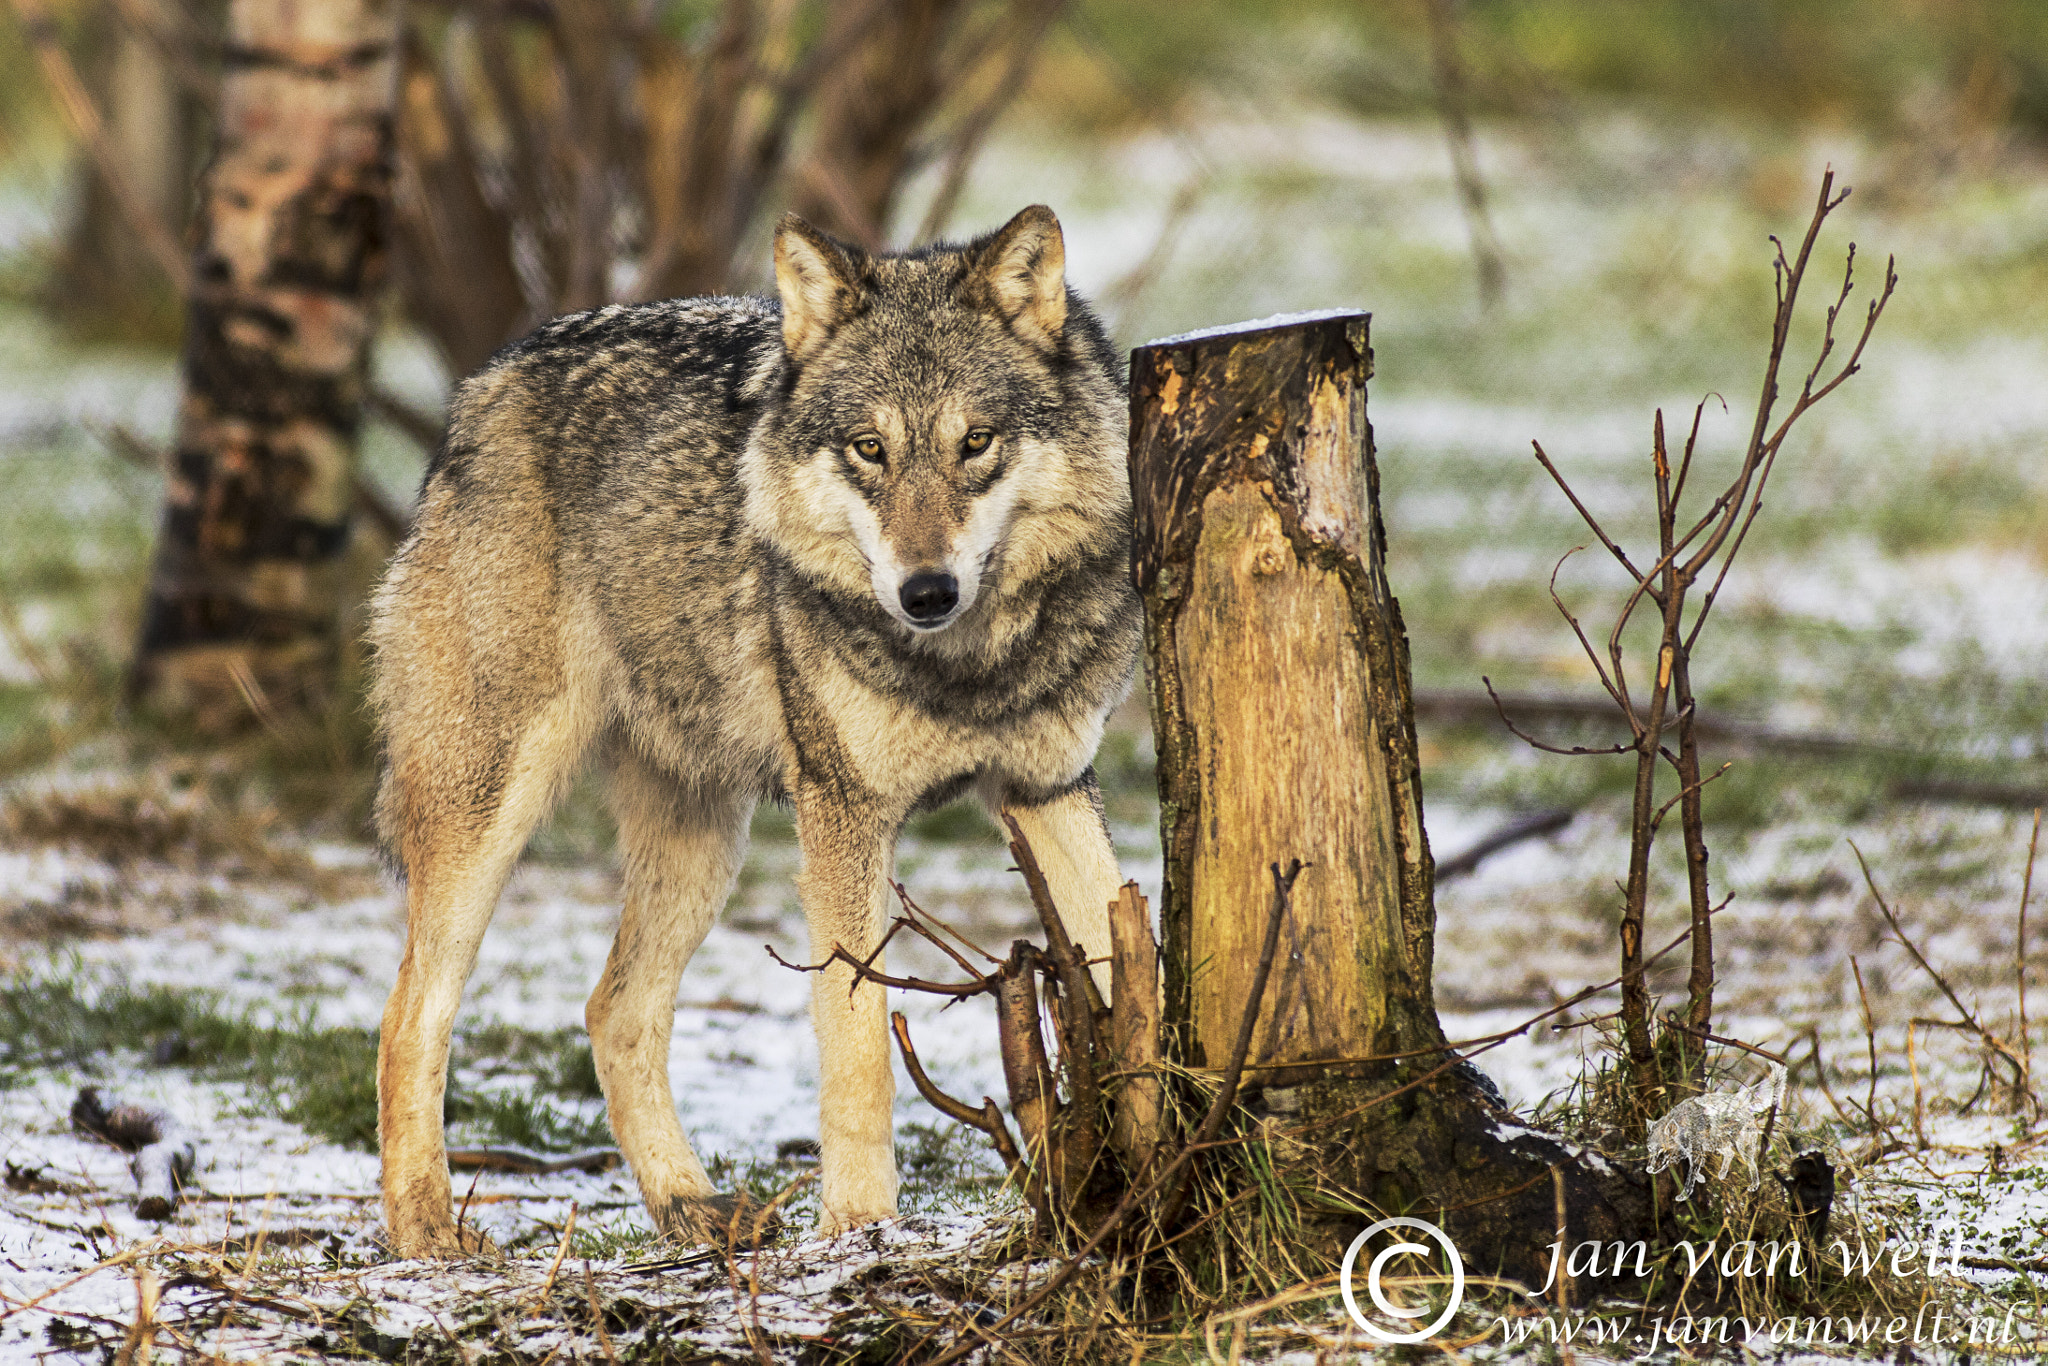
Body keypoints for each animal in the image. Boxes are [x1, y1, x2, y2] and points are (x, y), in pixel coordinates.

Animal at [368, 205, 1138, 1261]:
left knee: (613, 1010)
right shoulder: (844, 814)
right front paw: (860, 1226)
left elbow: (1133, 944)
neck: (967, 669)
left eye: (975, 442)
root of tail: (485, 383)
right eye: (868, 449)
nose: (926, 592)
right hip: (487, 816)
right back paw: (424, 1231)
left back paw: (689, 1208)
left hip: (704, 844)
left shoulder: (1049, 787)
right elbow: (857, 1037)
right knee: (410, 1014)